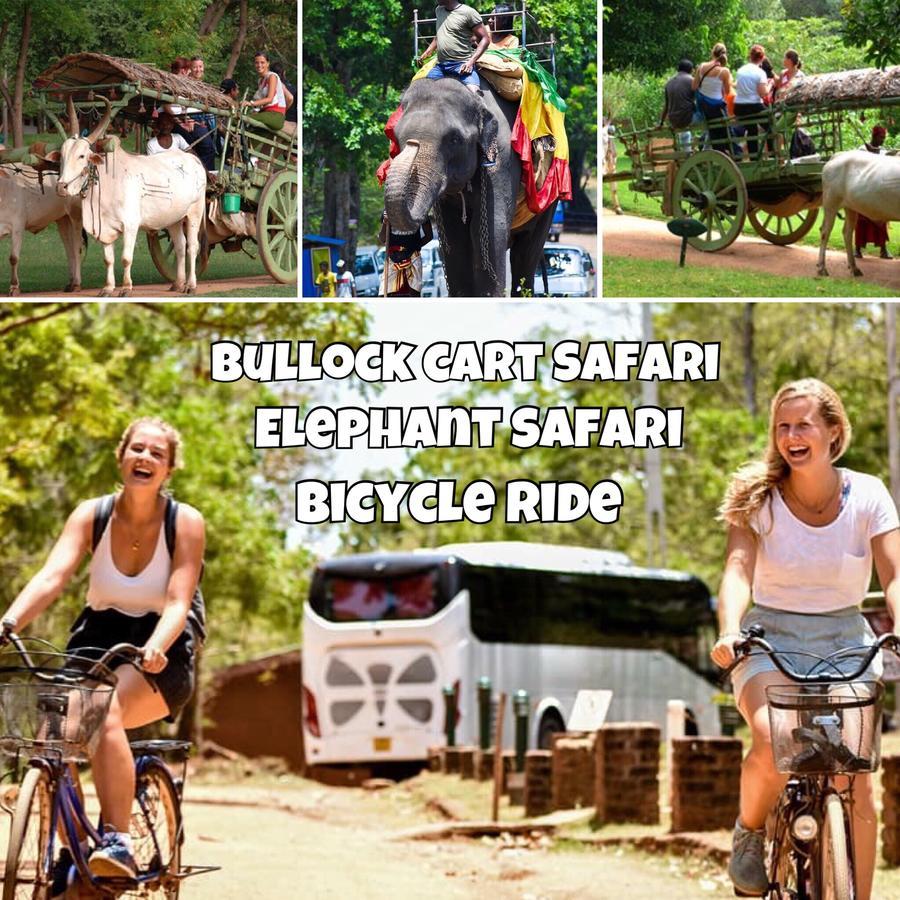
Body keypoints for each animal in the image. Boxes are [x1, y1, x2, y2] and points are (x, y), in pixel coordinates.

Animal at [382, 76, 556, 298]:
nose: (413, 143)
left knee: (526, 253)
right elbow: (455, 237)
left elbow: (490, 232)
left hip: (548, 203)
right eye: (395, 136)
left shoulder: (502, 159)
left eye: (455, 139)